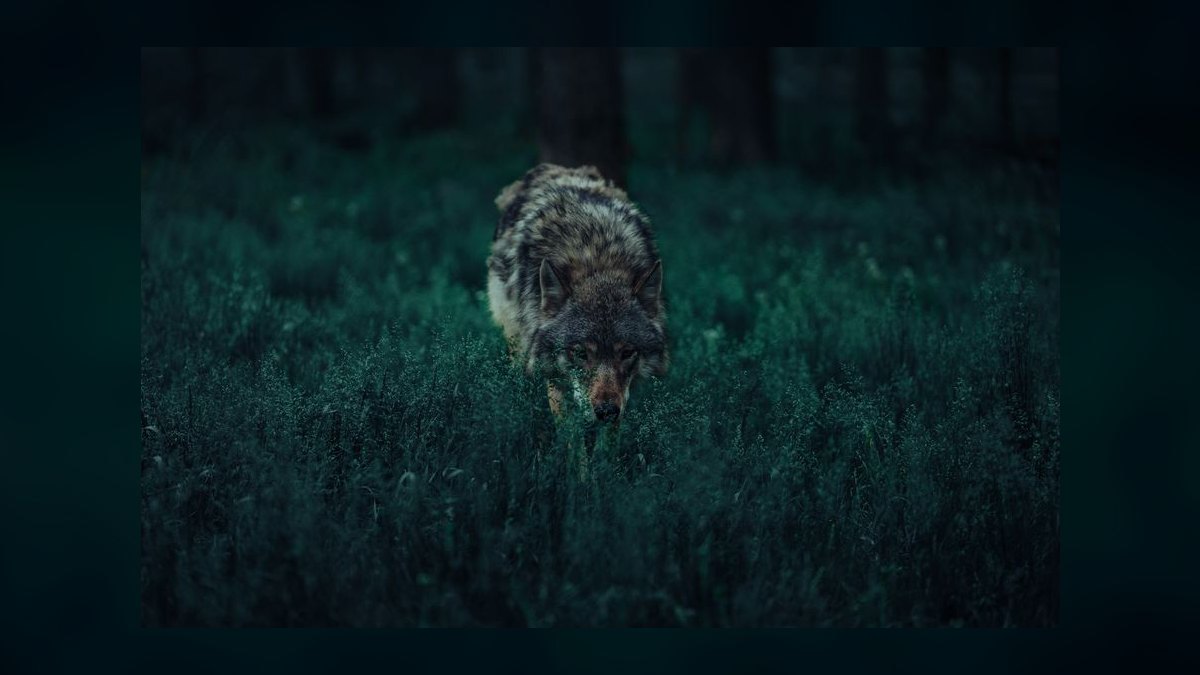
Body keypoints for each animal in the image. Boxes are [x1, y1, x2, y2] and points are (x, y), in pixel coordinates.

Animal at [487, 163, 667, 424]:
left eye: (627, 353)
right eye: (580, 353)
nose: (606, 412)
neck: (597, 260)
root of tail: (552, 167)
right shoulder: (553, 374)